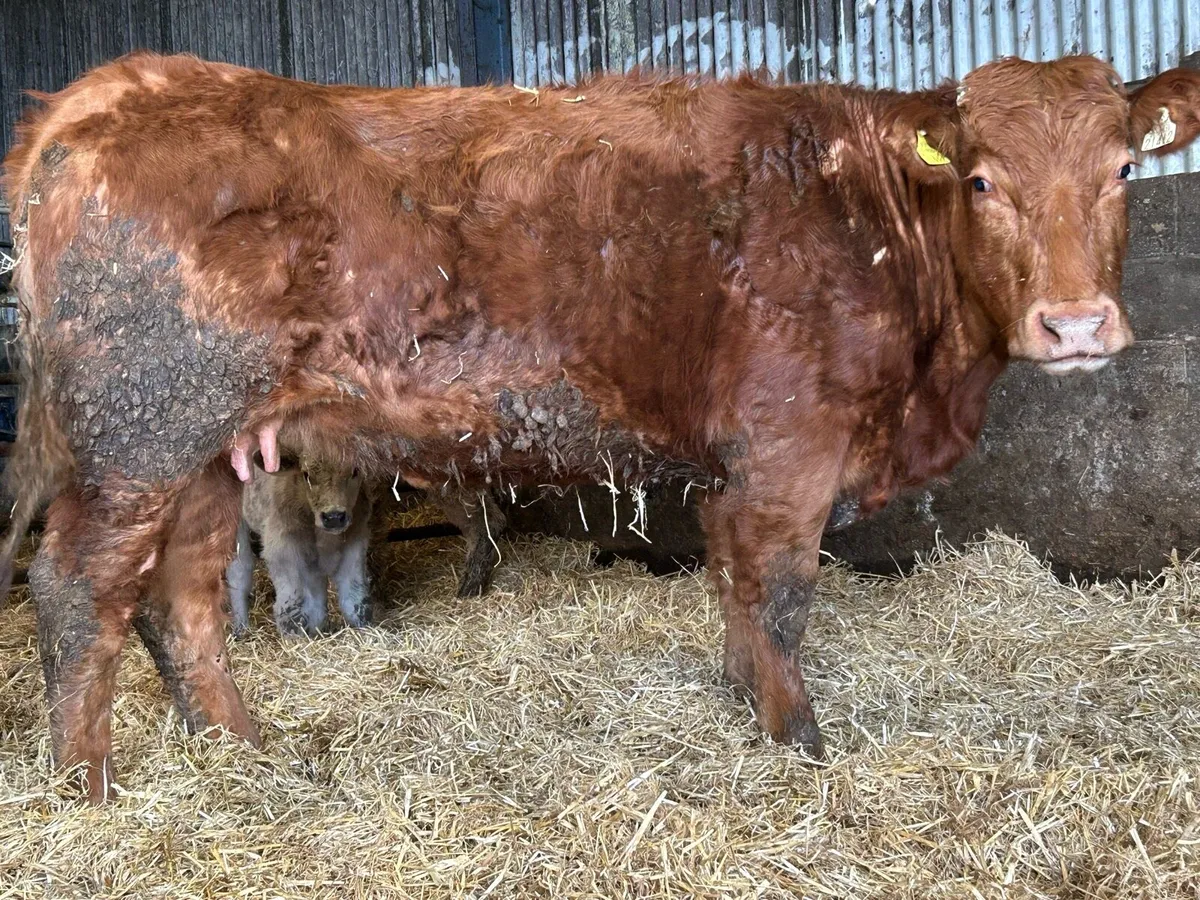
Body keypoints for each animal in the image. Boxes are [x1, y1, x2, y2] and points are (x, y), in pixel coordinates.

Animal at [2, 51, 1196, 801]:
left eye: (1124, 167)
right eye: (984, 179)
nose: (1076, 321)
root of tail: (110, 90)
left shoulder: (740, 464)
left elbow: (734, 584)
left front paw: (744, 701)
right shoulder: (790, 447)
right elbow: (781, 591)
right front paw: (799, 741)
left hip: (208, 450)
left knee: (182, 600)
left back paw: (243, 753)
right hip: (138, 436)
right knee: (79, 594)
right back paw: (87, 789)